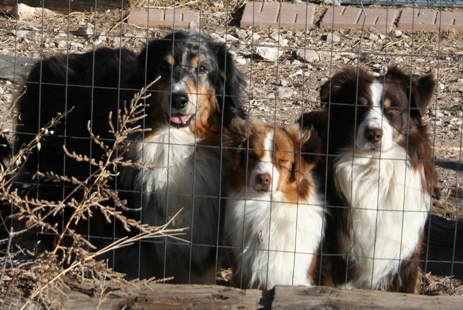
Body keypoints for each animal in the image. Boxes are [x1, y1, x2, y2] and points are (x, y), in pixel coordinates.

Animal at [300, 65, 438, 294]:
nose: (373, 134)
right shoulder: (344, 255)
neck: (376, 172)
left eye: (393, 110)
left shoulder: (406, 257)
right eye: (359, 107)